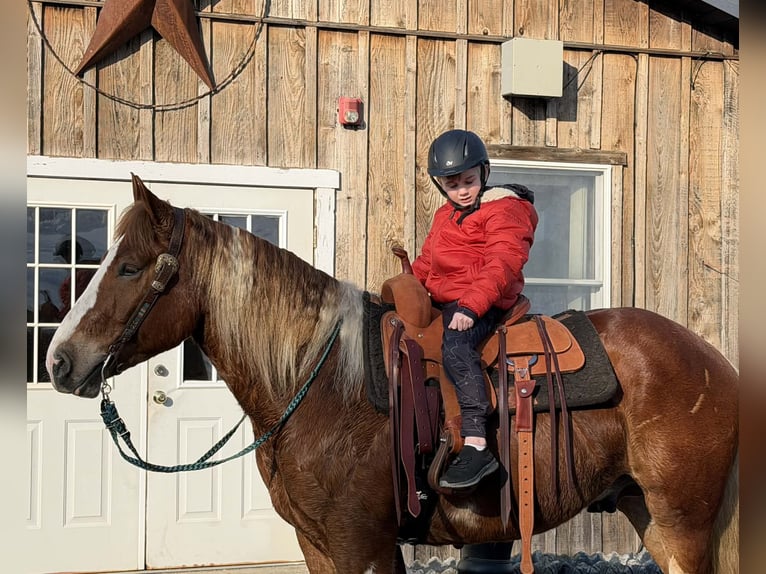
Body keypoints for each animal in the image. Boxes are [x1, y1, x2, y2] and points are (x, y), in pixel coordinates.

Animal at [46, 175, 739, 574]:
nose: (58, 360)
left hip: (683, 521)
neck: (322, 385)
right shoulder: (318, 545)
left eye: (130, 267)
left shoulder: (363, 544)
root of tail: (716, 363)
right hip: (650, 515)